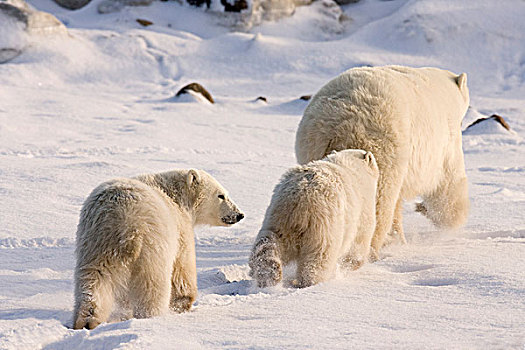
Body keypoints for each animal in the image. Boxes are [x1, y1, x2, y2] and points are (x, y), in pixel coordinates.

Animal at [72, 169, 243, 328]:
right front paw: (183, 303)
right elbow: (182, 267)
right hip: (152, 245)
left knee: (94, 278)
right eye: (221, 195)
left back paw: (87, 321)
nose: (239, 214)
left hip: (95, 242)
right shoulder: (180, 228)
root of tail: (123, 221)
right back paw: (151, 317)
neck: (176, 195)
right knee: (153, 285)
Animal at [294, 65, 470, 258]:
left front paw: (398, 239)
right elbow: (448, 183)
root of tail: (339, 125)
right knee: (379, 200)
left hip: (311, 146)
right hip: (383, 148)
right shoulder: (445, 139)